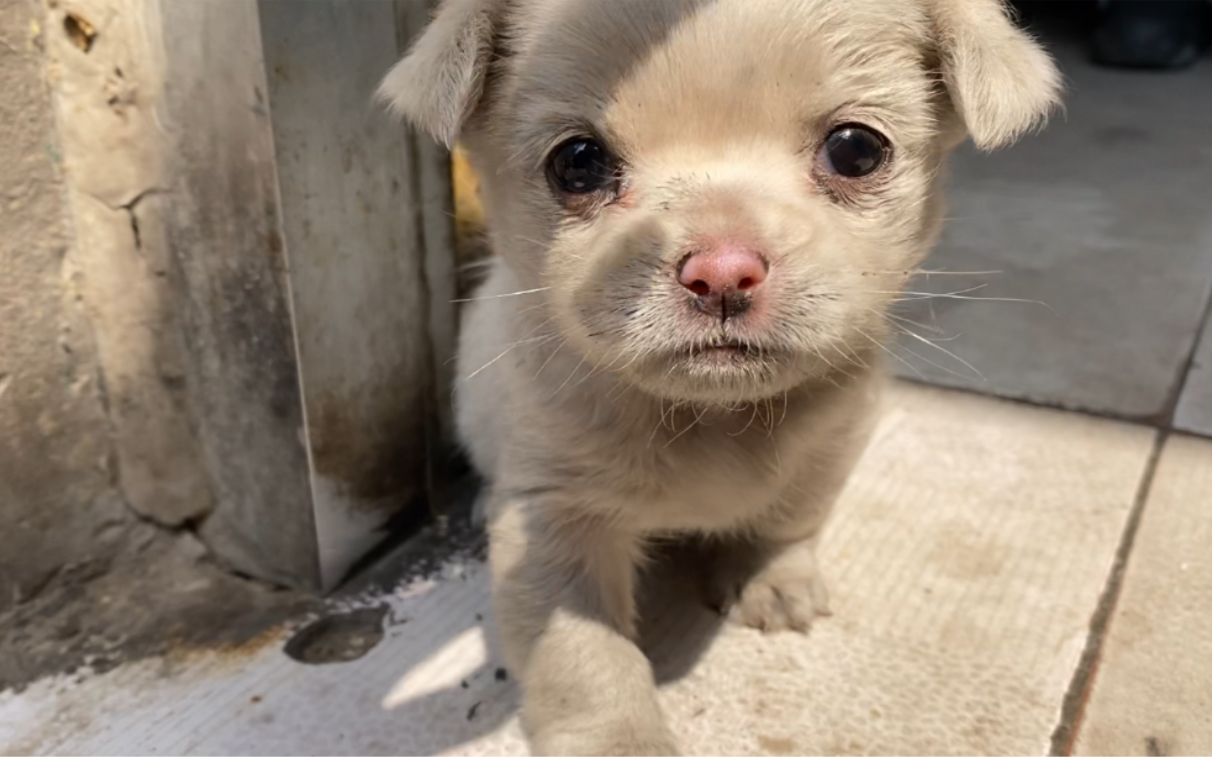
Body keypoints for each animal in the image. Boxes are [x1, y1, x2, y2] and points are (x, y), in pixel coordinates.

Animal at [380, 1, 1061, 750]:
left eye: (856, 150)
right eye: (577, 164)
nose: (724, 271)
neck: (713, 416)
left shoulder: (834, 443)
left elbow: (791, 516)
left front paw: (770, 575)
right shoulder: (554, 523)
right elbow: (584, 659)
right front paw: (620, 738)